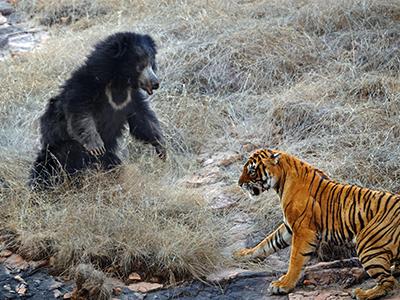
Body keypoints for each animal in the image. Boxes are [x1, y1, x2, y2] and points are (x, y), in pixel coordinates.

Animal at [29, 31, 164, 189]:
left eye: (151, 63)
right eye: (141, 65)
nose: (155, 83)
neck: (118, 83)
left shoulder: (132, 99)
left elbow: (143, 121)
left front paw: (162, 148)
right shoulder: (85, 86)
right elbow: (79, 114)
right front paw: (96, 145)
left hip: (104, 158)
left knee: (112, 164)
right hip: (58, 151)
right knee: (46, 169)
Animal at [233, 149, 400, 298]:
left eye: (252, 171)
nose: (239, 184)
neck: (282, 181)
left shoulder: (303, 230)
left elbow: (295, 260)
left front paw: (283, 285)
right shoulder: (288, 227)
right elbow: (267, 243)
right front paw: (244, 254)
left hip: (368, 245)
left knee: (389, 283)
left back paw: (362, 293)